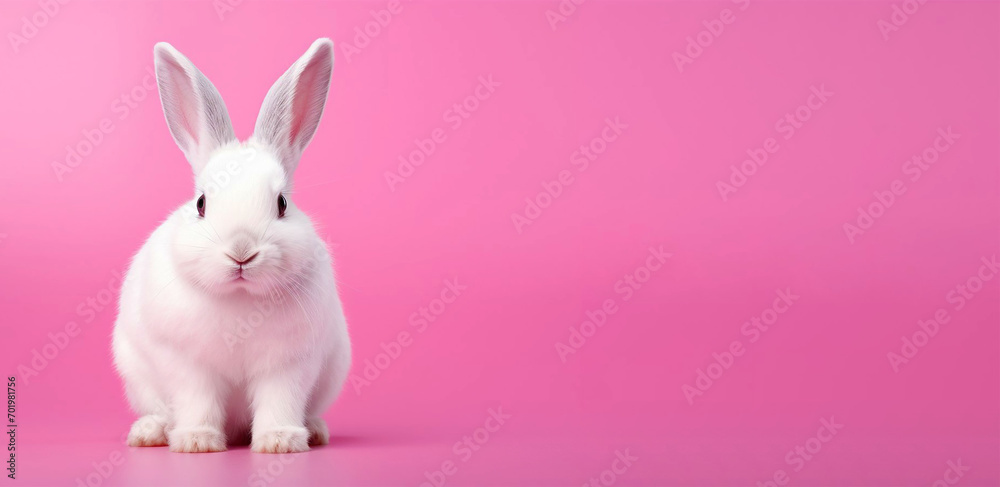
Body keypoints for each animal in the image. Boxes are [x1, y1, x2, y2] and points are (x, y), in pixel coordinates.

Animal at [111, 38, 351, 454]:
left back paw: (316, 430)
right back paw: (150, 433)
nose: (241, 252)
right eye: (201, 203)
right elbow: (198, 401)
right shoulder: (188, 365)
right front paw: (197, 442)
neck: (240, 299)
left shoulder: (288, 365)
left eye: (282, 204)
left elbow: (279, 400)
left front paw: (280, 442)